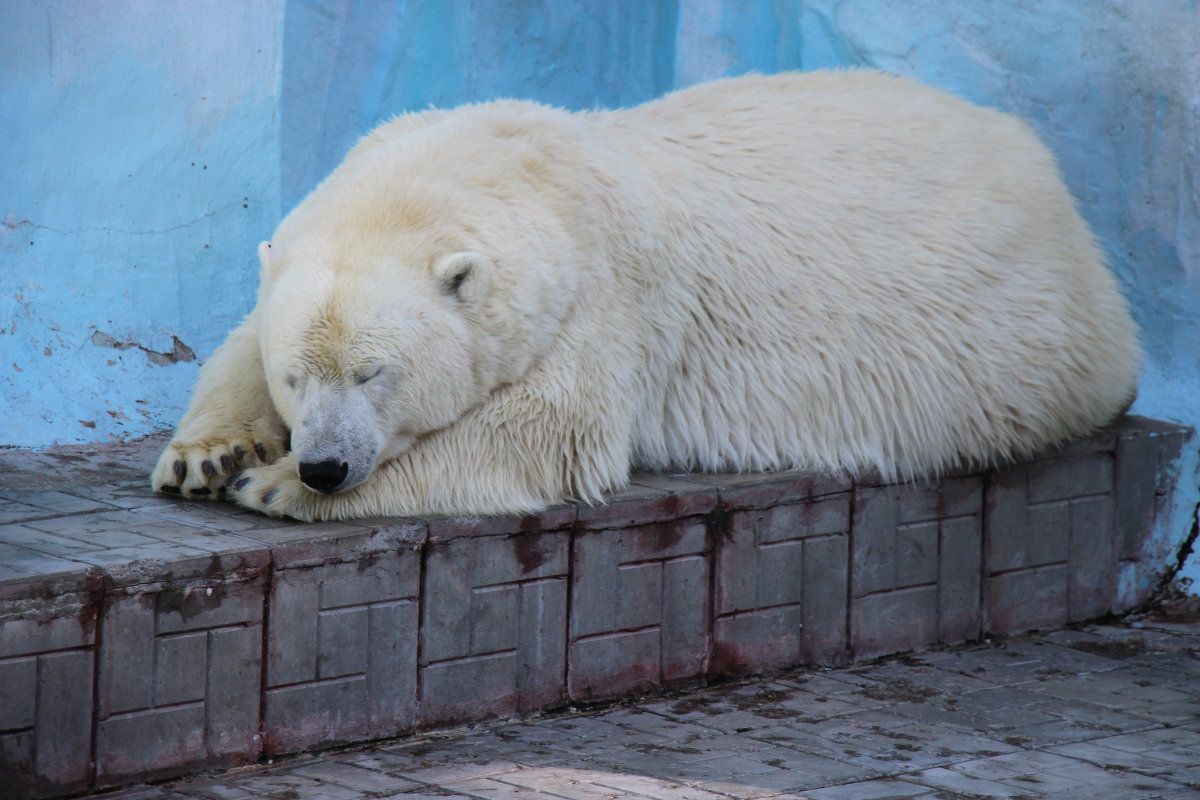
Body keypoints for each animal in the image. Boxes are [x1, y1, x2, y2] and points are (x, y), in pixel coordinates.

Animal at [154, 68, 1137, 520]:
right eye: (296, 378)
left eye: (375, 374)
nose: (323, 462)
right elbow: (237, 336)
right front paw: (208, 456)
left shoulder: (606, 293)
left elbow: (542, 432)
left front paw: (274, 486)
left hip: (1019, 334)